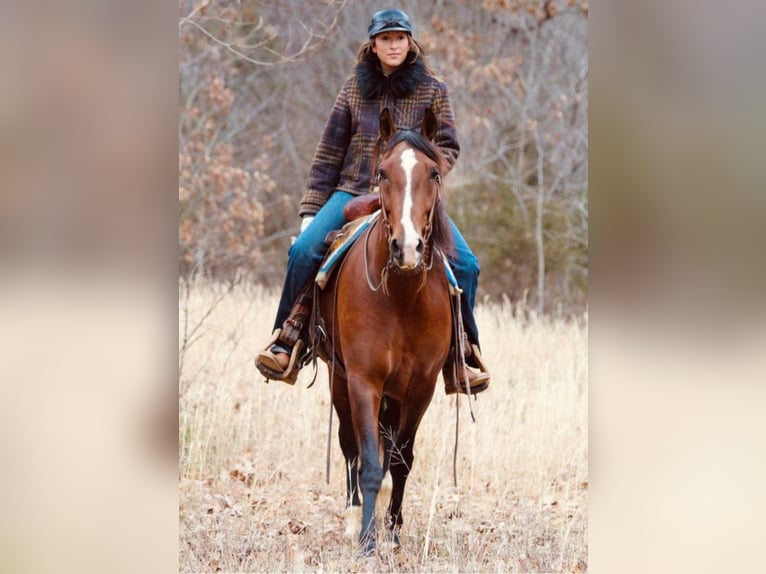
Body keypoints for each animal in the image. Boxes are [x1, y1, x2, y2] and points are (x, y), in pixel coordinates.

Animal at [316, 108, 456, 560]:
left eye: (434, 172)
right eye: (382, 172)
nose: (407, 248)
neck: (402, 296)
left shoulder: (421, 387)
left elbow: (401, 460)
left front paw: (392, 531)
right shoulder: (363, 381)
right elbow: (371, 462)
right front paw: (365, 539)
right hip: (338, 379)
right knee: (349, 446)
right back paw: (352, 517)